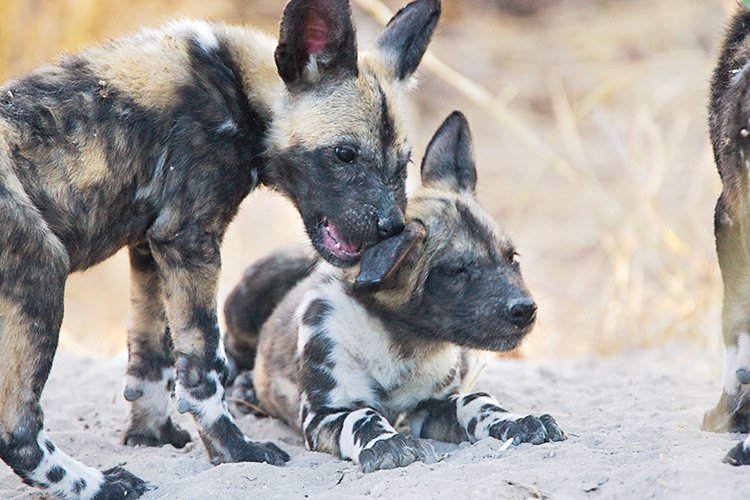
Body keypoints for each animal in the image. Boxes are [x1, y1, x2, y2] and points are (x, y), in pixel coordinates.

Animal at [0, 1, 440, 498]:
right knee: (16, 428)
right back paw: (97, 484)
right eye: (345, 155)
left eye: (403, 165)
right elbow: (204, 366)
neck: (241, 92)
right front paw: (235, 451)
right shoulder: (189, 240)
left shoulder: (151, 246)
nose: (391, 228)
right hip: (41, 271)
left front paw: (150, 437)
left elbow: (151, 363)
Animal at [226, 112, 568, 472]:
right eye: (457, 270)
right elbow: (364, 415)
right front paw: (388, 443)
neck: (403, 341)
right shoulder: (325, 414)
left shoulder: (432, 406)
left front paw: (517, 421)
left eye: (512, 258)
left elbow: (477, 401)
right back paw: (245, 389)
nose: (525, 309)